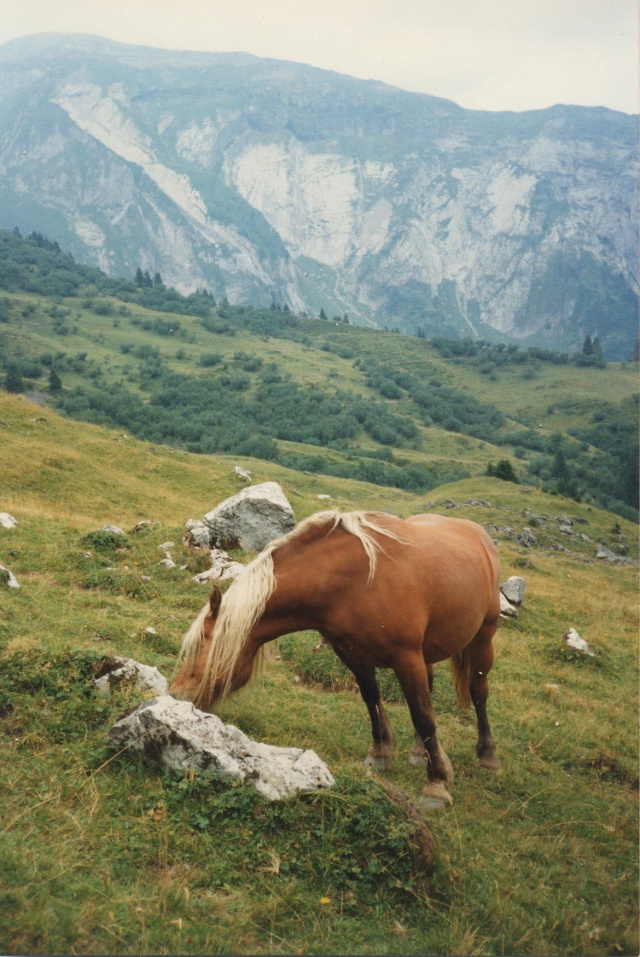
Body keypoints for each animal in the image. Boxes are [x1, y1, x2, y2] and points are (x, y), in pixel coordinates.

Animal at [172, 508, 502, 808]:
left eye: (201, 645)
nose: (176, 695)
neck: (354, 580)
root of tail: (477, 532)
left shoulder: (406, 656)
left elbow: (422, 715)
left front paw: (437, 784)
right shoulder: (353, 654)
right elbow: (372, 700)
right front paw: (381, 754)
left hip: (482, 638)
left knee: (478, 692)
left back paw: (487, 755)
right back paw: (419, 752)